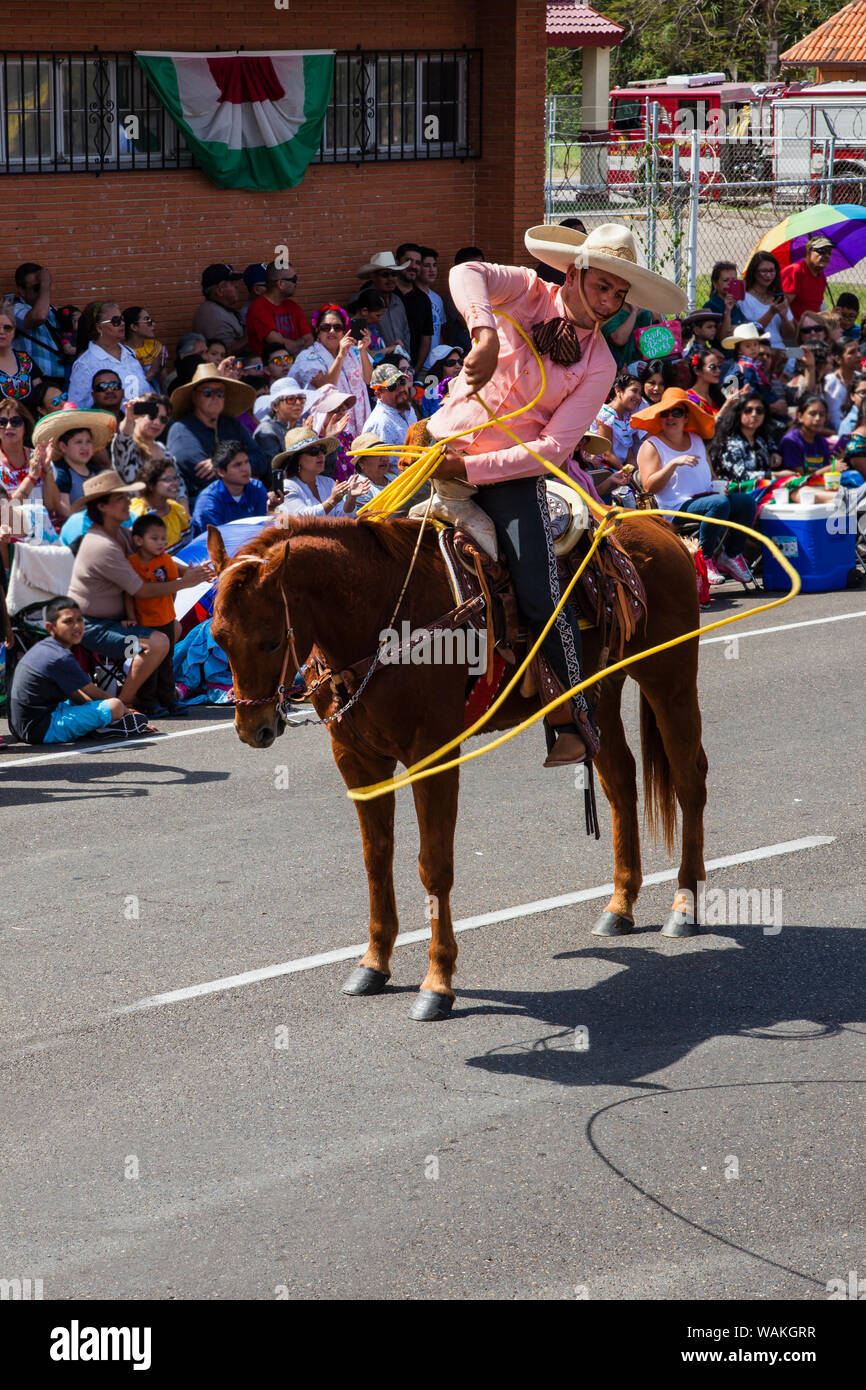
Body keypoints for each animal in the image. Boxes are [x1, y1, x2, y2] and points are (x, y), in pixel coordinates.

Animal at [207, 511, 708, 1023]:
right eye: (218, 638)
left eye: (270, 641)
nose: (253, 728)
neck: (384, 621)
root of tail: (656, 526)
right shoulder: (358, 761)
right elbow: (375, 858)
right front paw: (373, 962)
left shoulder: (433, 756)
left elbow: (434, 865)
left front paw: (438, 982)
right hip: (598, 697)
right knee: (621, 783)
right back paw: (620, 905)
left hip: (669, 679)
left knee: (689, 780)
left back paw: (683, 907)